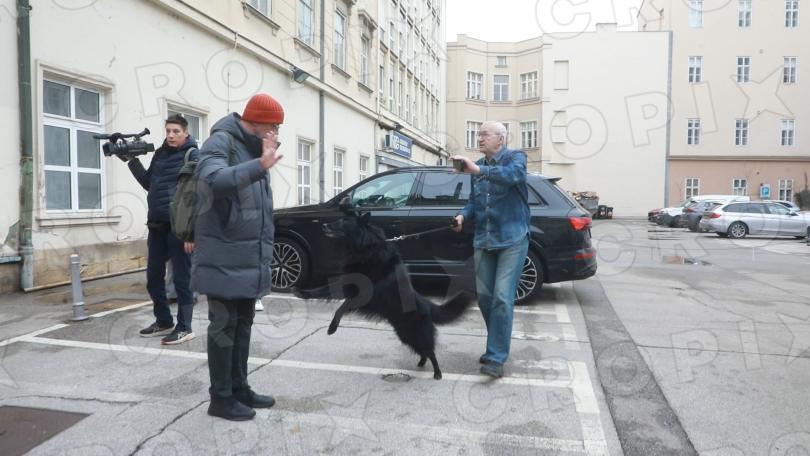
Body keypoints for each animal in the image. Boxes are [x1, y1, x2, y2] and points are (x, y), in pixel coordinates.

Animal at [292, 212, 474, 379]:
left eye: (344, 221)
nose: (324, 226)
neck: (366, 248)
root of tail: (427, 304)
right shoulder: (348, 284)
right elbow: (326, 290)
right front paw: (302, 292)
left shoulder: (362, 294)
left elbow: (339, 305)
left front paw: (331, 327)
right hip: (405, 334)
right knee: (424, 351)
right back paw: (421, 363)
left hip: (414, 332)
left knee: (430, 350)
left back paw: (437, 373)